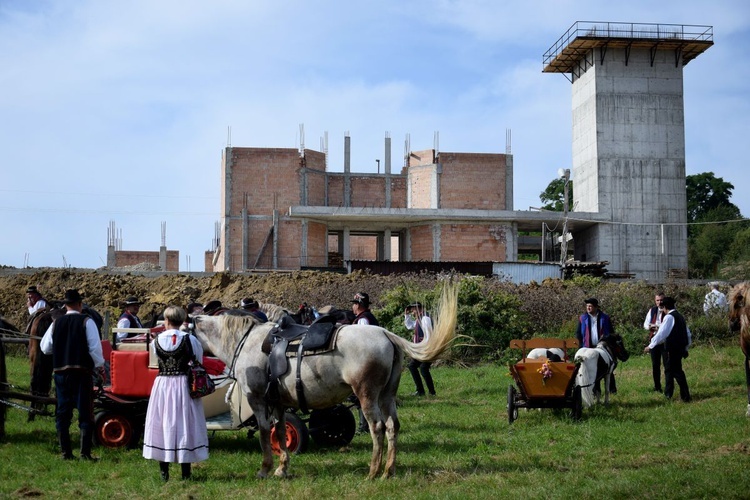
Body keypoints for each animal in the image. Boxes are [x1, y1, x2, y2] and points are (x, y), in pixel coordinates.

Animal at [191, 284, 458, 478]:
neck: (246, 341)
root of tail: (385, 334)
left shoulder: (257, 399)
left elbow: (266, 432)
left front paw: (265, 468)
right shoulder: (277, 401)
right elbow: (280, 430)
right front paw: (282, 467)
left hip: (367, 396)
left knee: (377, 428)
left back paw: (373, 471)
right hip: (386, 396)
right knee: (392, 426)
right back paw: (388, 471)